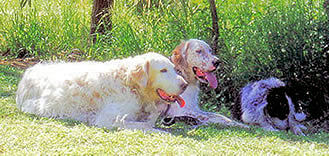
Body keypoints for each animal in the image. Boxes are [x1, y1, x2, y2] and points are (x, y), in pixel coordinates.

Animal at [16, 52, 187, 133]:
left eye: (174, 69)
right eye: (163, 70)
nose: (185, 85)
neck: (130, 83)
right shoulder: (107, 119)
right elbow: (144, 125)